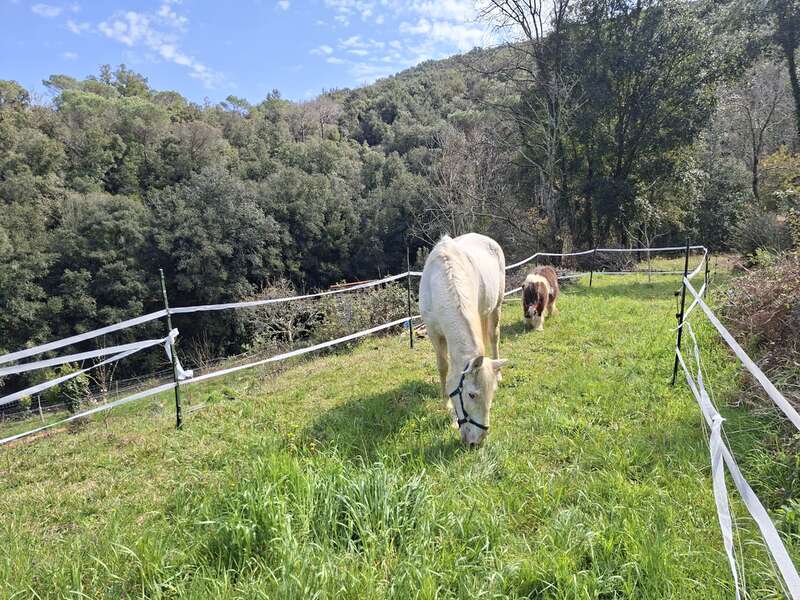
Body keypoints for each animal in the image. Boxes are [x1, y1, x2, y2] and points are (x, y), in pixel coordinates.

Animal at [419, 233, 508, 445]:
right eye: (472, 395)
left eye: (492, 393)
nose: (478, 441)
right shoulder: (434, 333)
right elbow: (443, 367)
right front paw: (447, 407)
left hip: (496, 306)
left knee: (494, 336)